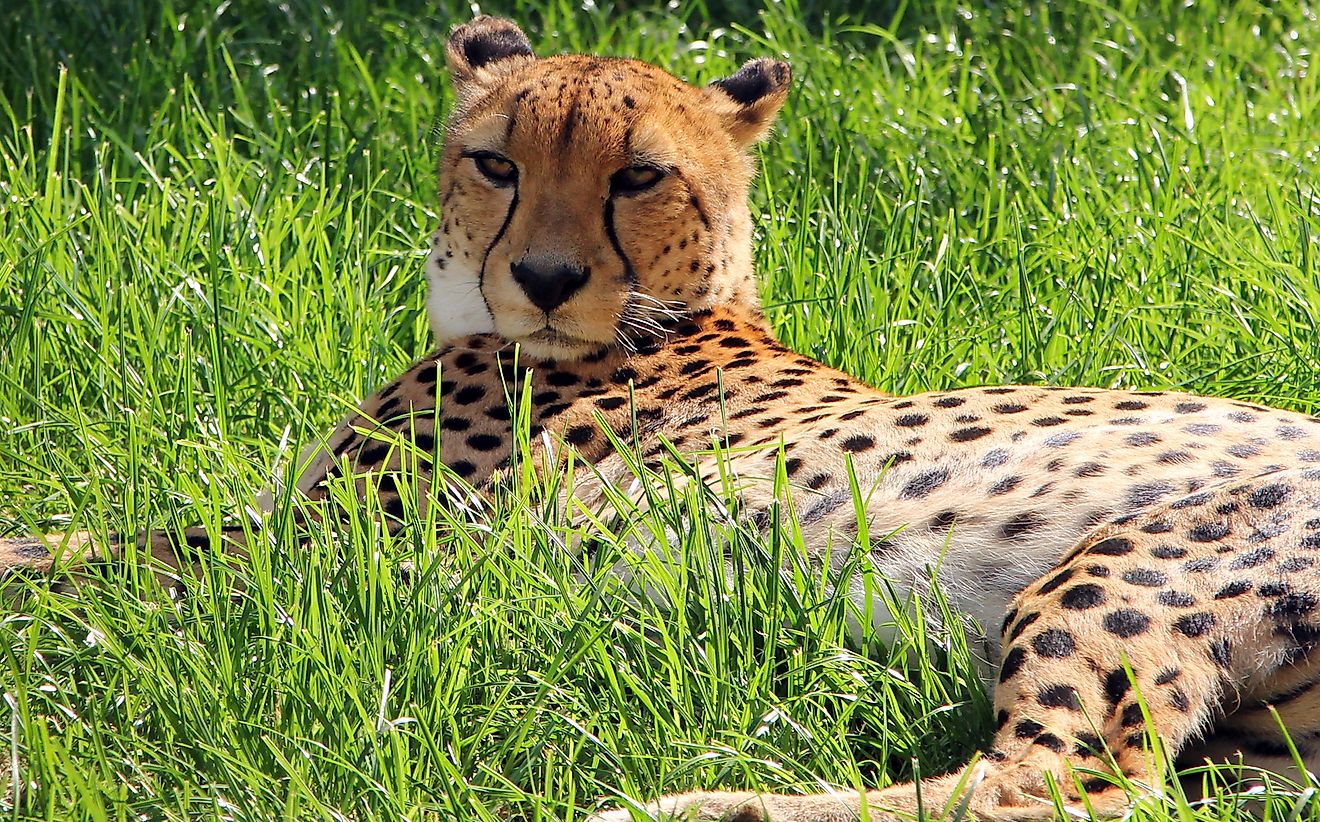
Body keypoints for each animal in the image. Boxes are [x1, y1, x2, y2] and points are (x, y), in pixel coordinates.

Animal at [2, 16, 1320, 822]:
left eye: (638, 176)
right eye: (496, 162)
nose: (543, 277)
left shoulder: (341, 548)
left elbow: (81, 551)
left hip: (1116, 571)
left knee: (1048, 789)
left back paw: (687, 805)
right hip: (1260, 753)